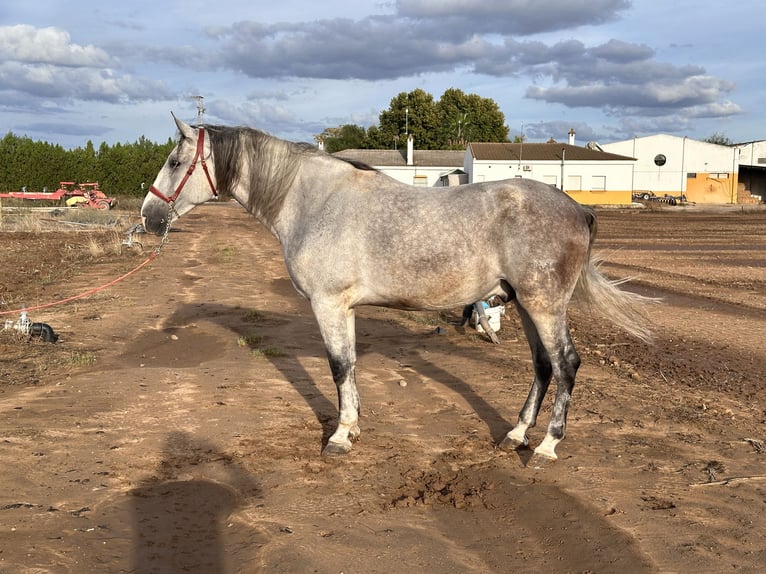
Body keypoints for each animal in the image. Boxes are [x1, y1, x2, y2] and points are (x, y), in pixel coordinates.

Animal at [141, 115, 655, 465]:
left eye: (175, 162)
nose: (149, 217)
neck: (312, 201)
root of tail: (575, 207)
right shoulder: (343, 308)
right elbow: (347, 365)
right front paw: (352, 427)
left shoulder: (328, 304)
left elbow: (338, 366)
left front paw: (339, 437)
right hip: (528, 305)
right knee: (543, 365)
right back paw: (515, 435)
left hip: (544, 305)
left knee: (566, 364)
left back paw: (546, 446)